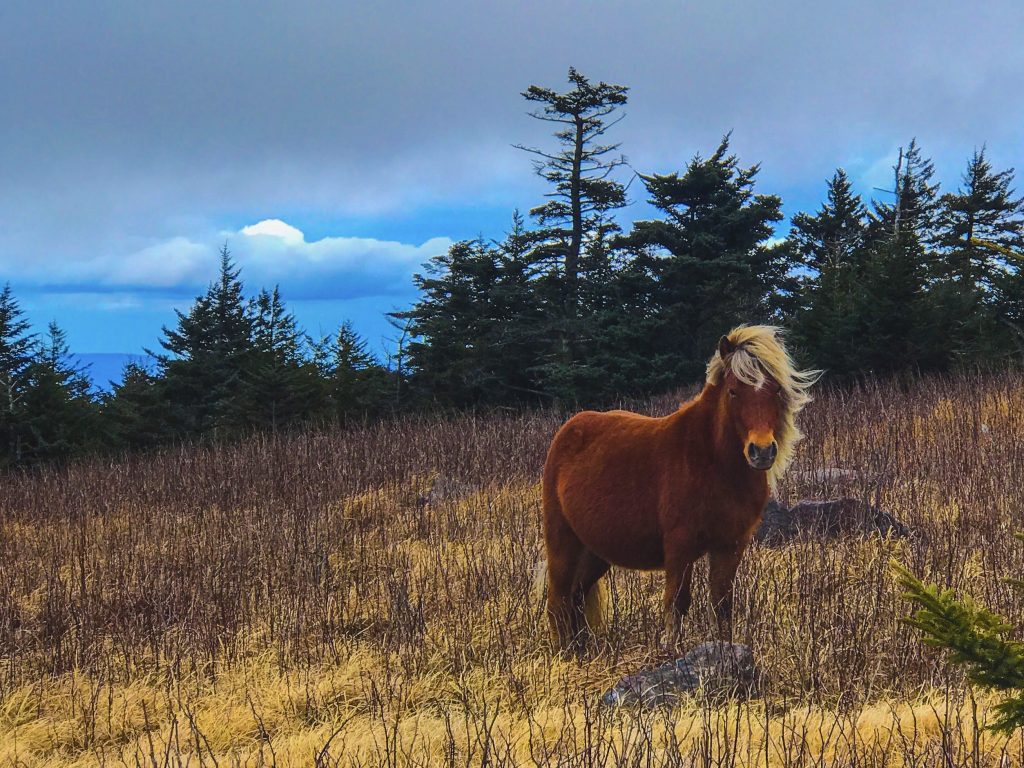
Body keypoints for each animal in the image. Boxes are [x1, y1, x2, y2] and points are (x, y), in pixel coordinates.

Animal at [540, 325, 819, 655]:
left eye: (776, 390)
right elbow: (676, 602)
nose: (761, 452)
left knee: (577, 595)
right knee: (558, 599)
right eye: (733, 391)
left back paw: (583, 648)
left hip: (596, 551)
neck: (713, 462)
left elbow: (721, 603)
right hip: (562, 540)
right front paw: (670, 651)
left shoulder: (730, 546)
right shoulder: (679, 546)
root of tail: (567, 430)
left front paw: (724, 651)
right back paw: (565, 653)